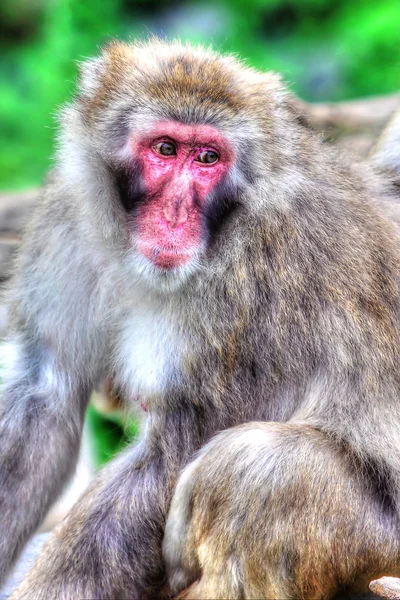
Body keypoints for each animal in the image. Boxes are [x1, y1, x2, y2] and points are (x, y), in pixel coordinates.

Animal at [0, 39, 400, 596]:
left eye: (209, 158)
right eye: (166, 149)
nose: (175, 213)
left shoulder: (249, 296)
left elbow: (170, 456)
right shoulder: (70, 210)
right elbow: (43, 394)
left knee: (254, 469)